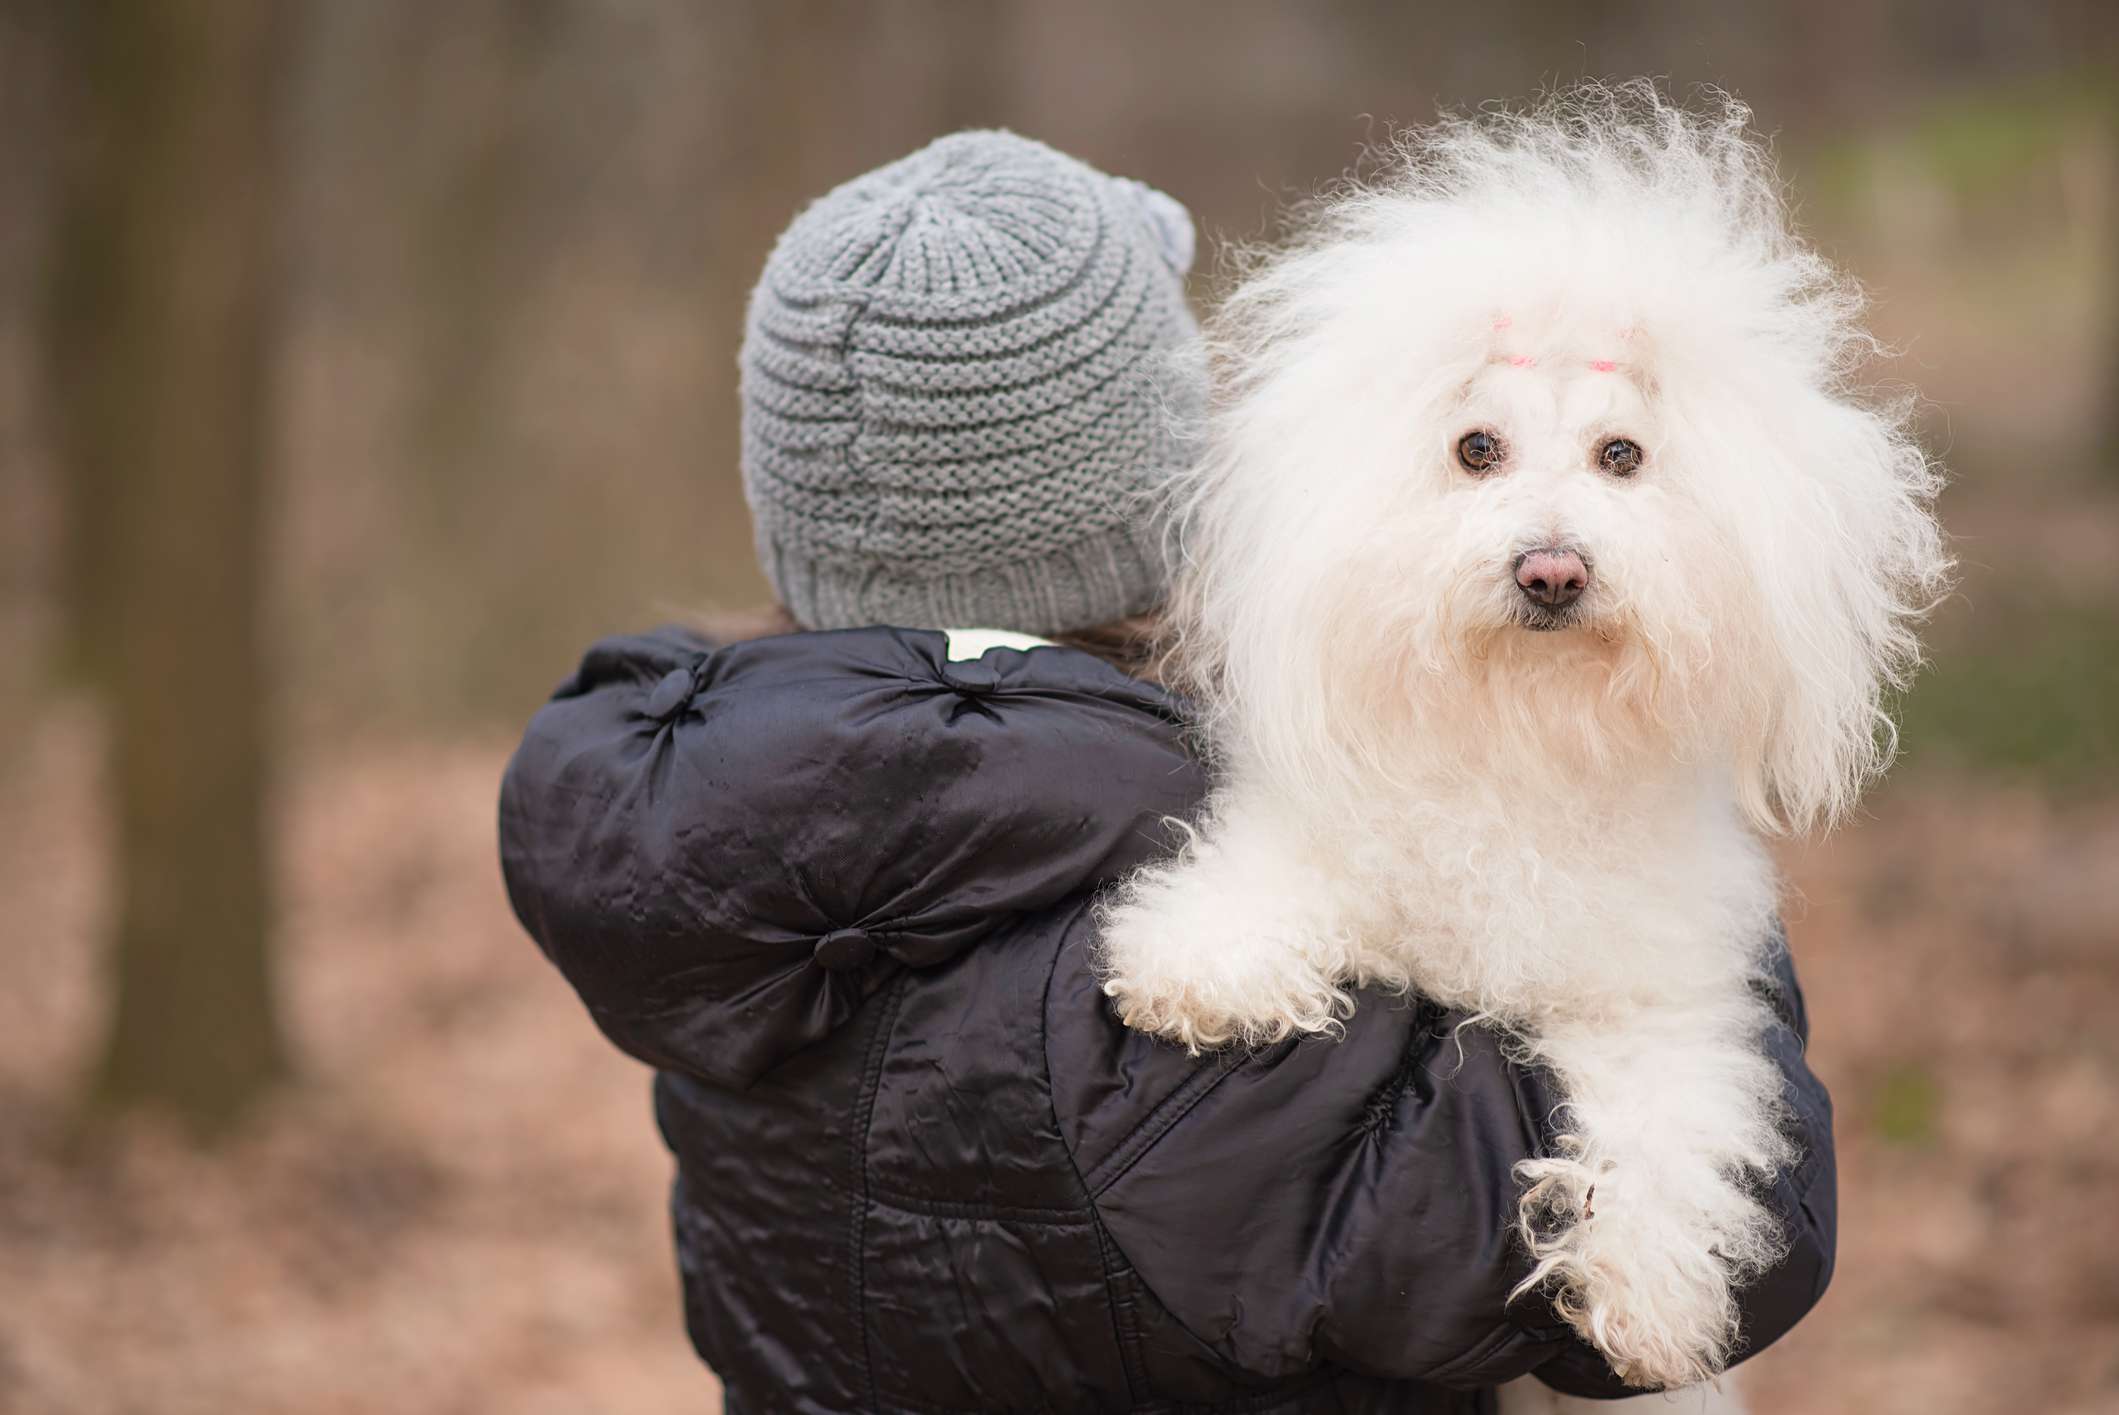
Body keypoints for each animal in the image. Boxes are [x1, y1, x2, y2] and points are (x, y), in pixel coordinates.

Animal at [1101, 85, 1941, 1389]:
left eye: (1622, 456)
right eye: (1474, 450)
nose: (1551, 568)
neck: (1524, 735)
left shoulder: (1662, 995)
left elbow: (1667, 1118)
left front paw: (1650, 1300)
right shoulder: (1337, 835)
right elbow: (1272, 876)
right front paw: (1200, 964)